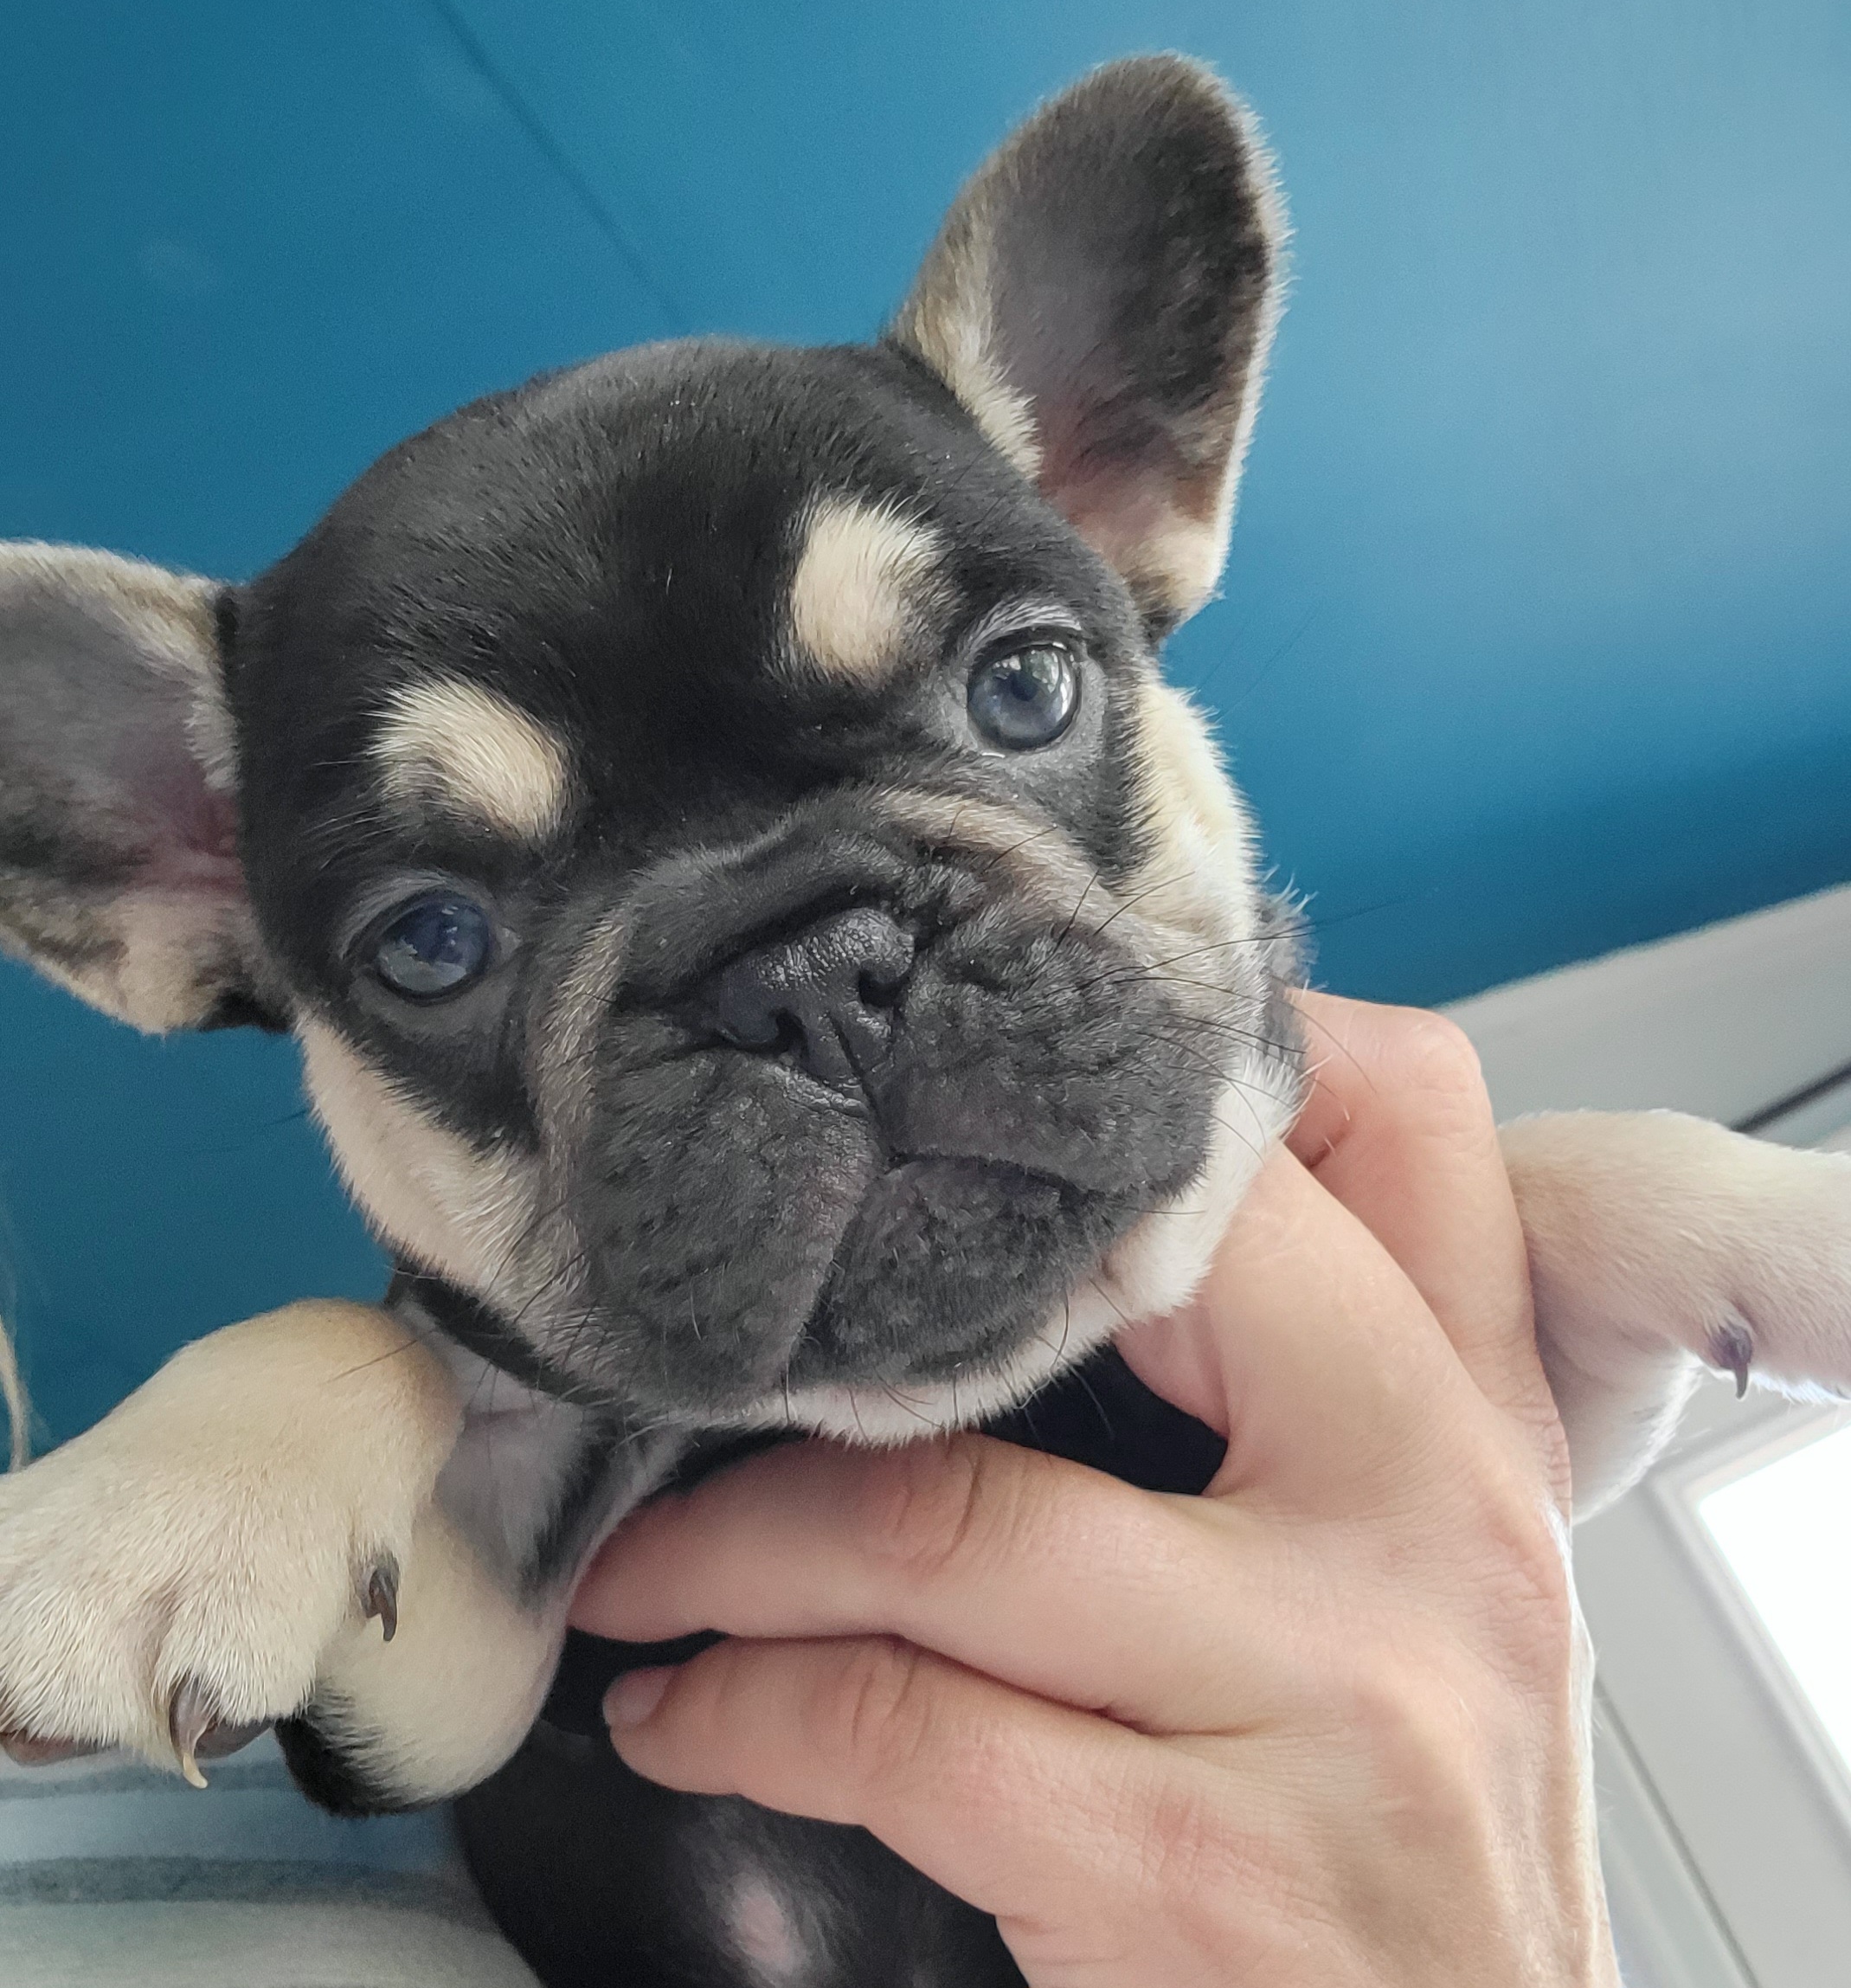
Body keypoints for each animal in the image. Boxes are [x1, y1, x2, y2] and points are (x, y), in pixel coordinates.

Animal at [3, 54, 1850, 1988]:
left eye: (1024, 685)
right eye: (427, 944)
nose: (808, 966)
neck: (986, 1393)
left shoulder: (1546, 1414)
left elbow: (1534, 1165)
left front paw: (1783, 1212)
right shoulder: (444, 1707)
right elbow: (374, 1337)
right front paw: (135, 1512)